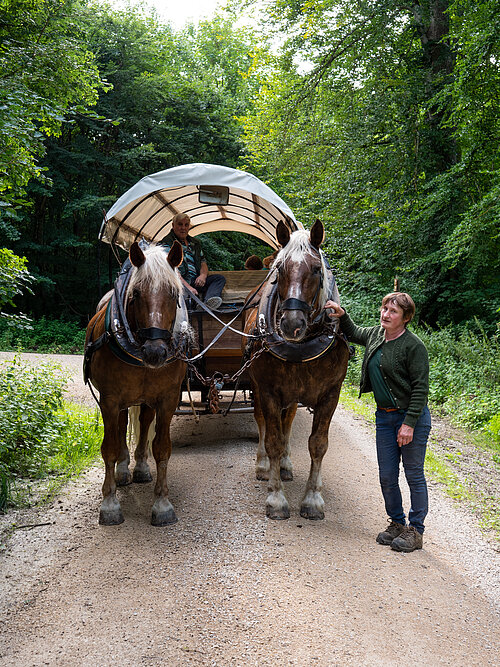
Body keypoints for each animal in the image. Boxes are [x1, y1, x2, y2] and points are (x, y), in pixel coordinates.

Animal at [86, 243, 188, 528]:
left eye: (173, 293)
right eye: (135, 294)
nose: (155, 352)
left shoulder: (167, 399)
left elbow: (162, 448)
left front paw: (162, 504)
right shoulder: (109, 400)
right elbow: (109, 447)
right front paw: (109, 504)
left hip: (147, 399)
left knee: (143, 423)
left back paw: (140, 468)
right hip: (119, 401)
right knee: (121, 427)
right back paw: (123, 470)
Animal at [242, 220, 348, 520]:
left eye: (316, 269)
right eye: (280, 269)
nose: (291, 324)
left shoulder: (331, 395)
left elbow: (318, 444)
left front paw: (312, 498)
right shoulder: (267, 391)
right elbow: (273, 440)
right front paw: (276, 498)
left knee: (287, 422)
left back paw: (286, 465)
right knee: (264, 423)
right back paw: (265, 466)